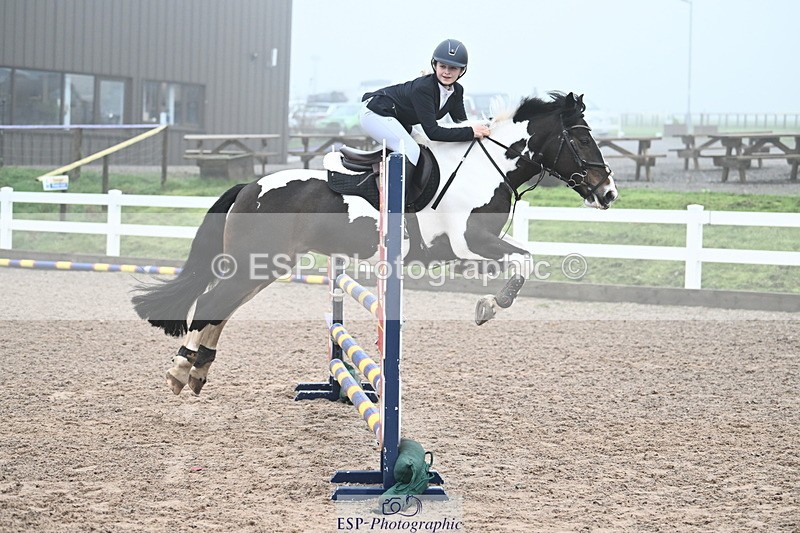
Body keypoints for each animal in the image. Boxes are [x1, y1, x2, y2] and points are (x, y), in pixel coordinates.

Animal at [132, 91, 618, 396]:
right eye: (580, 137)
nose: (608, 192)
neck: (487, 165)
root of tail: (250, 185)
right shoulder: (468, 245)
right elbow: (524, 261)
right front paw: (488, 307)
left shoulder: (477, 244)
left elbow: (525, 257)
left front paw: (488, 304)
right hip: (259, 261)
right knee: (213, 302)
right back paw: (180, 369)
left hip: (265, 267)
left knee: (222, 307)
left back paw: (196, 371)